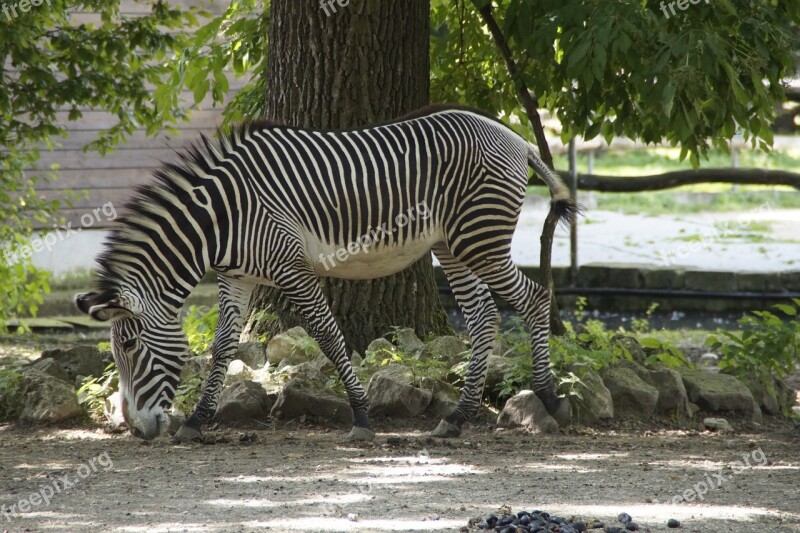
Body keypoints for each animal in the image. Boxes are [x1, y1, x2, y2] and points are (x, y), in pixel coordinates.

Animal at [73, 104, 576, 440]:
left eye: (130, 347)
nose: (138, 431)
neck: (221, 218)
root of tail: (515, 138)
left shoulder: (292, 268)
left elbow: (330, 338)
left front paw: (362, 416)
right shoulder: (236, 277)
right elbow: (221, 349)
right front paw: (197, 421)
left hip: (479, 237)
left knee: (534, 298)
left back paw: (549, 397)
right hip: (451, 244)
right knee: (484, 316)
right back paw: (456, 417)